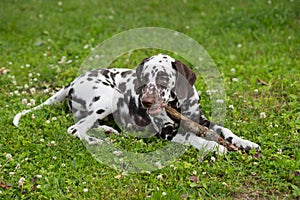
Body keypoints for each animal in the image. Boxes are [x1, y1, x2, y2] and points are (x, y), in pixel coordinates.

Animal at [12, 54, 258, 154]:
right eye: (144, 79)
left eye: (162, 79)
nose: (146, 102)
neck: (176, 105)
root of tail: (72, 82)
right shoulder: (167, 132)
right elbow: (193, 138)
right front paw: (214, 146)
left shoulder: (200, 120)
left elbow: (224, 129)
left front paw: (244, 142)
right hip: (108, 98)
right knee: (77, 129)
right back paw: (96, 142)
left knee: (82, 126)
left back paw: (107, 132)